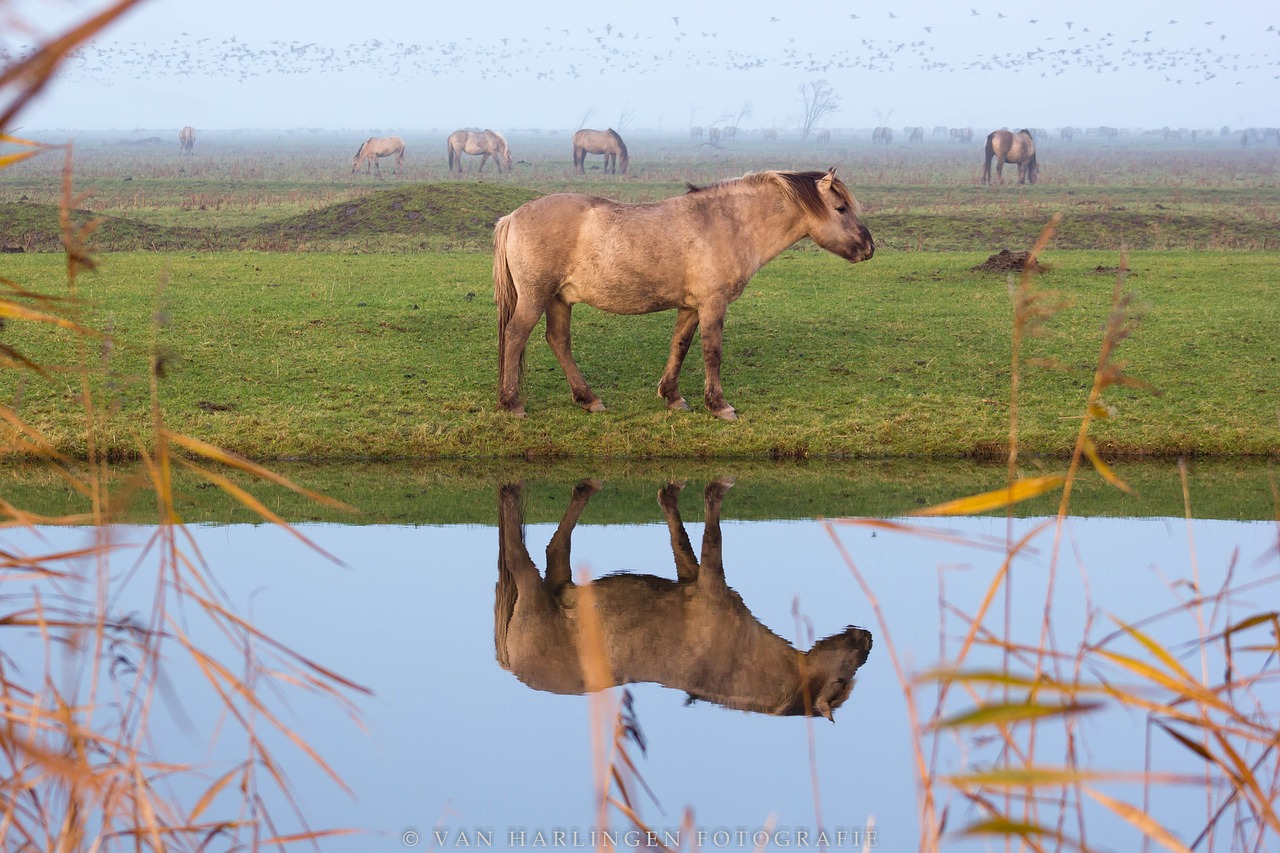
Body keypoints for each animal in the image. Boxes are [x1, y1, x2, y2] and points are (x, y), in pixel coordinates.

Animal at [494, 166, 875, 417]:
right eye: (841, 208)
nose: (869, 247)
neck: (726, 222)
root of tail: (513, 216)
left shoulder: (691, 307)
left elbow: (680, 346)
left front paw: (672, 396)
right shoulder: (713, 304)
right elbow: (712, 352)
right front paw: (719, 405)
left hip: (560, 299)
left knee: (558, 341)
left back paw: (588, 398)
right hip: (536, 297)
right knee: (515, 336)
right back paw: (513, 403)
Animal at [494, 479, 875, 717]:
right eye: (841, 681)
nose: (867, 637)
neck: (739, 659)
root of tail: (510, 663)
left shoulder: (693, 576)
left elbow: (679, 536)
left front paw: (670, 493)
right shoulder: (710, 581)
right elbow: (712, 534)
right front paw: (715, 489)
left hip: (558, 581)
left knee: (556, 546)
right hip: (531, 587)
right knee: (517, 550)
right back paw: (512, 491)